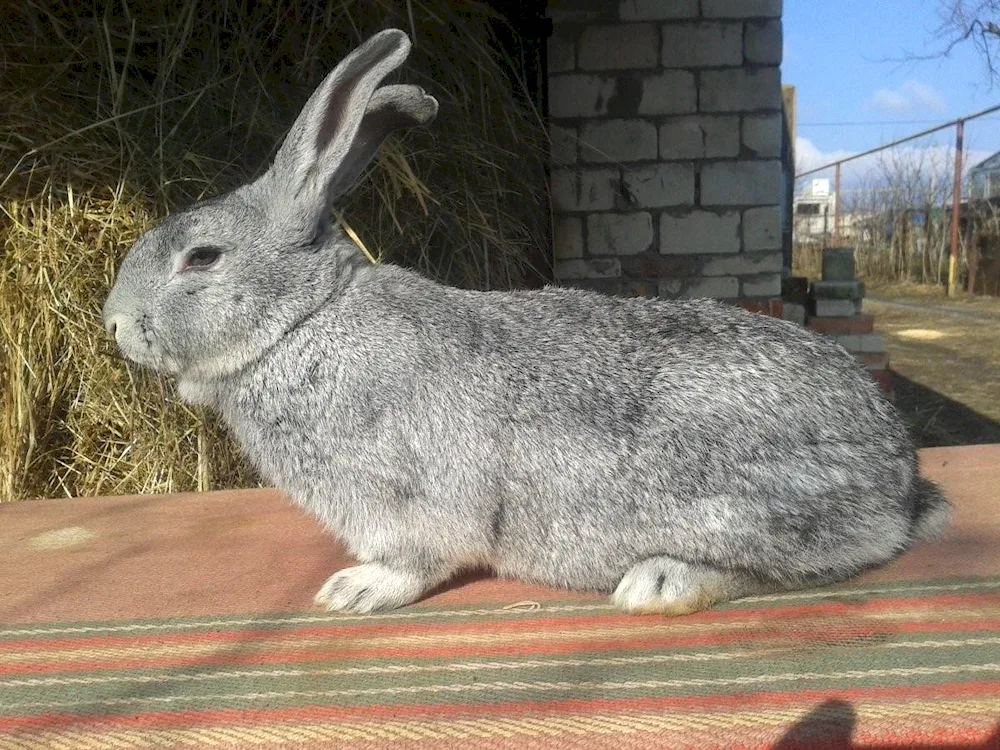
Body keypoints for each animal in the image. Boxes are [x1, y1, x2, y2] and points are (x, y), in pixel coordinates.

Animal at [105, 29, 948, 616]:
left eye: (201, 258)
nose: (113, 325)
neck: (302, 322)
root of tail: (898, 478)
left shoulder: (412, 504)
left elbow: (415, 562)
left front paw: (351, 591)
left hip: (740, 501)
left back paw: (659, 583)